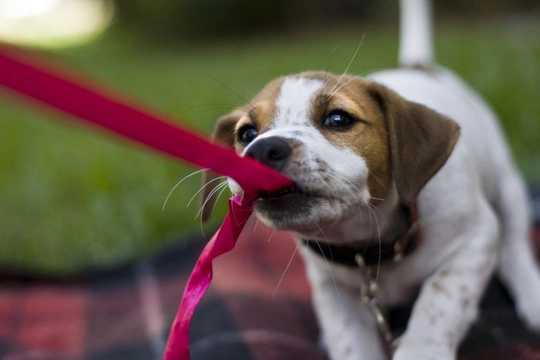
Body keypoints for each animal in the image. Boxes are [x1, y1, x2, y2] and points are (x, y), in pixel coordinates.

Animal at [200, 0, 536, 358]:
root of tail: (416, 66)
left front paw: (421, 348)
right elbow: (349, 339)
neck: (369, 243)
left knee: (514, 244)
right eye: (247, 134)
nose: (262, 149)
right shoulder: (330, 287)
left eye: (337, 119)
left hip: (505, 184)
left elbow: (439, 300)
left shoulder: (475, 241)